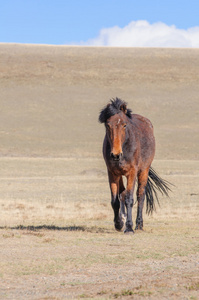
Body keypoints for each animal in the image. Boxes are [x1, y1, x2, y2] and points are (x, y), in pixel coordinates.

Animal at [98, 97, 170, 233]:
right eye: (107, 125)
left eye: (124, 125)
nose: (116, 155)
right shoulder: (112, 172)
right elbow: (115, 200)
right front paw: (119, 223)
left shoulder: (132, 172)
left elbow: (130, 199)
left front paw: (129, 227)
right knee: (122, 194)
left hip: (143, 171)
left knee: (140, 195)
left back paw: (139, 225)